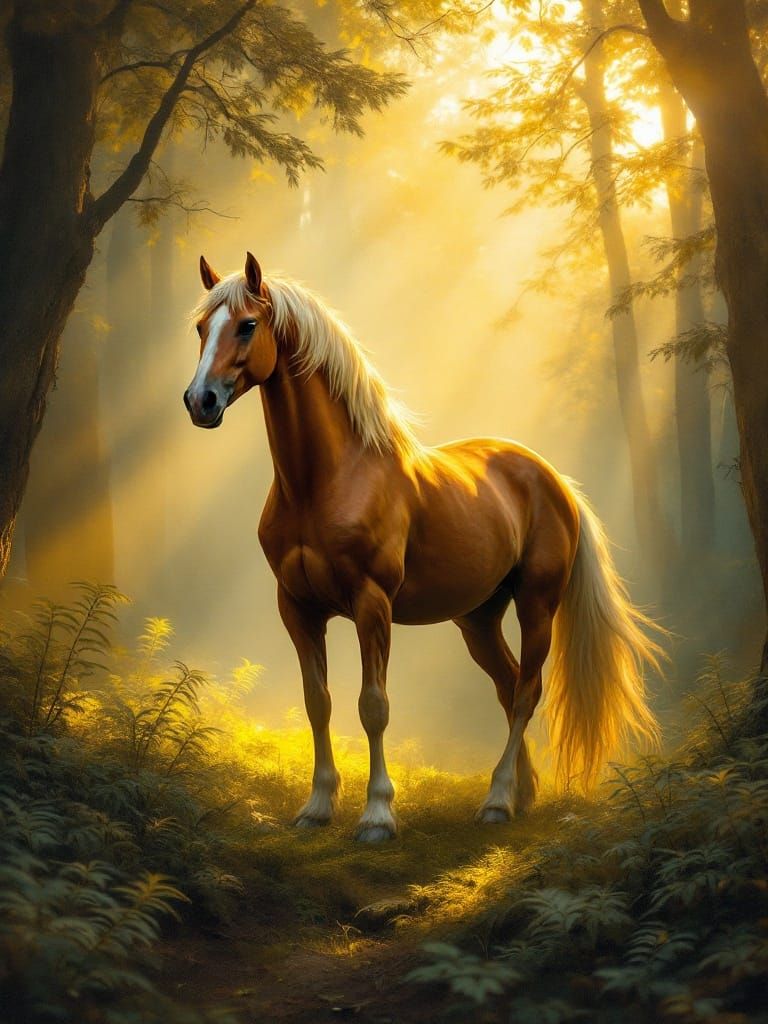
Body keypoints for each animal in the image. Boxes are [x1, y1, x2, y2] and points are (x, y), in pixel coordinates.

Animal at [184, 252, 663, 842]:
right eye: (202, 328)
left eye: (248, 325)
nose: (200, 401)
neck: (328, 480)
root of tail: (553, 479)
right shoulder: (297, 608)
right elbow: (318, 703)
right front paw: (316, 807)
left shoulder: (372, 605)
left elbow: (373, 706)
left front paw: (377, 815)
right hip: (477, 619)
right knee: (508, 687)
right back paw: (520, 795)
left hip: (537, 606)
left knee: (527, 692)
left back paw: (497, 801)